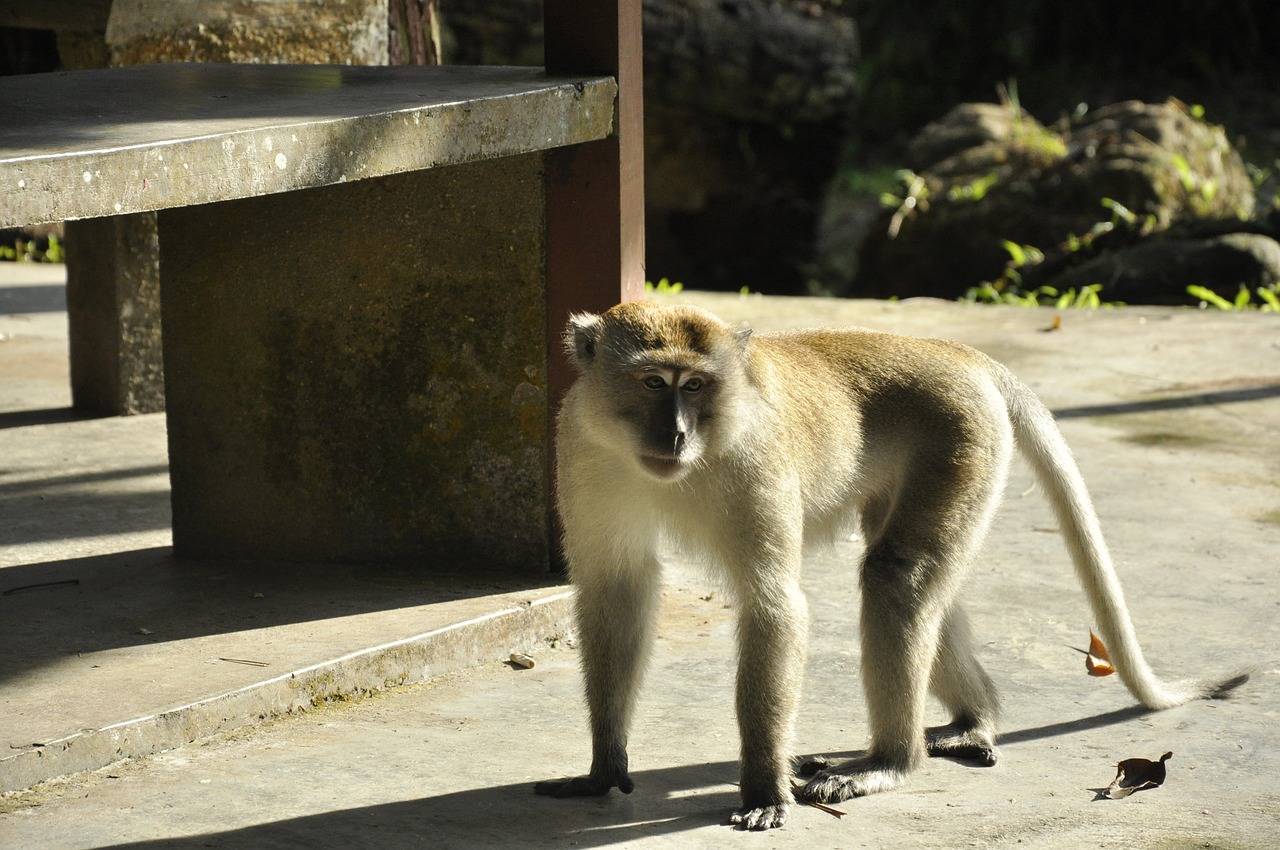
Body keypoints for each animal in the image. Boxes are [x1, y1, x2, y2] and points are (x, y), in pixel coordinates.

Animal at [532, 300, 1249, 829]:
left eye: (697, 386)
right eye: (654, 382)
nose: (677, 434)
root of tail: (959, 354)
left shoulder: (753, 461)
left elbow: (773, 606)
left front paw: (763, 785)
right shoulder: (584, 448)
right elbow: (617, 591)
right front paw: (605, 764)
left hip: (962, 444)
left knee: (895, 575)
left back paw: (892, 763)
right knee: (915, 582)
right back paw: (972, 721)